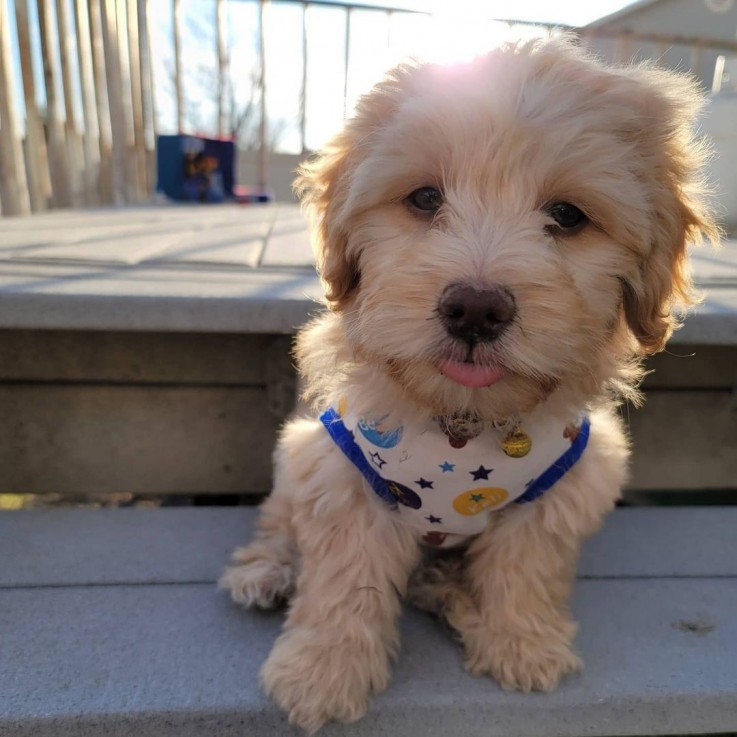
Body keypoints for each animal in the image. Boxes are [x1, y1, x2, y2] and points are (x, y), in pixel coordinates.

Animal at [221, 38, 716, 732]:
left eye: (568, 215)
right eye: (426, 198)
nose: (476, 309)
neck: (463, 419)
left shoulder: (563, 485)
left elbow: (525, 569)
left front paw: (521, 643)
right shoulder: (343, 475)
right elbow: (345, 580)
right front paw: (323, 672)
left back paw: (447, 590)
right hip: (298, 456)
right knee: (277, 519)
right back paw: (266, 570)